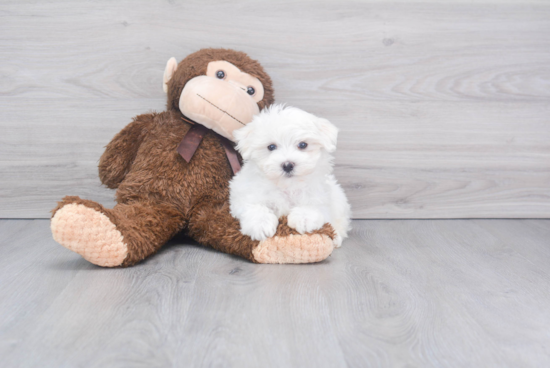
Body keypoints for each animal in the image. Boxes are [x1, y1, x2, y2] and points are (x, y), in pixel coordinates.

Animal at [230, 103, 352, 247]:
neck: (287, 186)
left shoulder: (321, 196)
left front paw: (304, 218)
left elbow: (315, 205)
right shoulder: (244, 194)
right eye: (271, 147)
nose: (288, 165)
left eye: (303, 145)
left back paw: (336, 237)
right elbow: (254, 206)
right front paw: (261, 224)